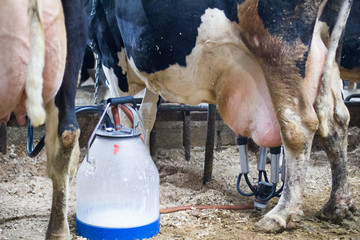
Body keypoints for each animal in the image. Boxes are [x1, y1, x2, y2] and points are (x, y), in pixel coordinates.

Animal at [85, 0, 358, 232]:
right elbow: (146, 116)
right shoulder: (150, 73)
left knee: (298, 124)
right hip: (327, 51)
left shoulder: (110, 54)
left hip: (280, 43)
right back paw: (337, 204)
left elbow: (125, 116)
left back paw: (282, 213)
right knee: (335, 121)